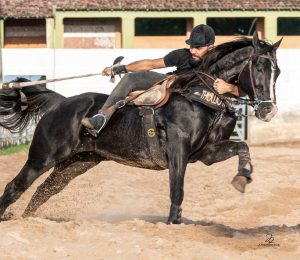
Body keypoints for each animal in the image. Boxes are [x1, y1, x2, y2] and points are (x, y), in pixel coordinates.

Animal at [0, 33, 282, 223]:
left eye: (276, 71)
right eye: (258, 67)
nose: (268, 110)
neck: (200, 96)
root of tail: (61, 103)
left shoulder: (206, 153)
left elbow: (242, 146)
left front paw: (242, 177)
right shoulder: (178, 151)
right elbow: (177, 189)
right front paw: (172, 222)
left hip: (76, 163)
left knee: (43, 192)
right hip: (42, 157)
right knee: (15, 188)